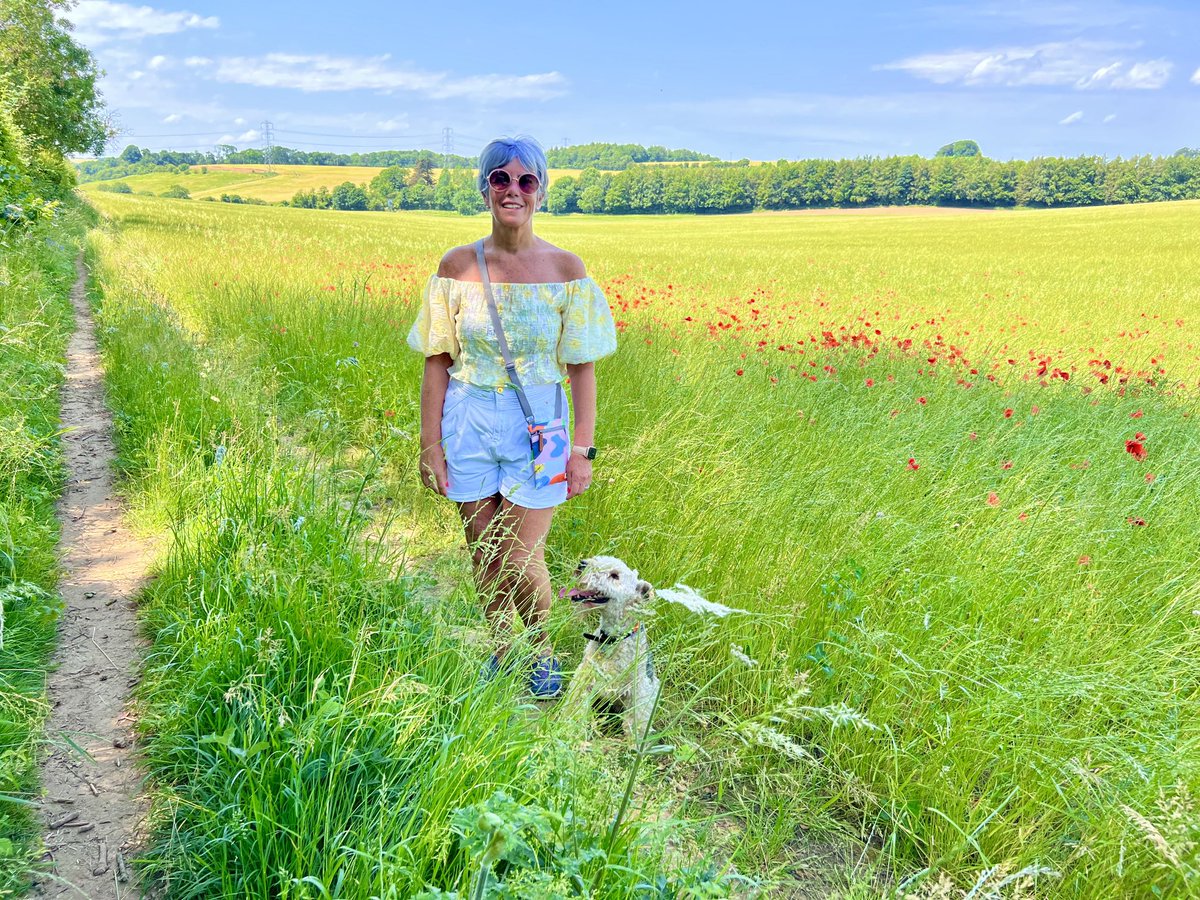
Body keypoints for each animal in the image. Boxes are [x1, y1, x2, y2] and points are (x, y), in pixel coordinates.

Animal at [559, 556, 662, 748]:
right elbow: (576, 706)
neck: (612, 639)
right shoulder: (585, 677)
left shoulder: (639, 690)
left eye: (615, 576)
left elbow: (636, 722)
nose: (582, 564)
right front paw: (569, 728)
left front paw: (634, 746)